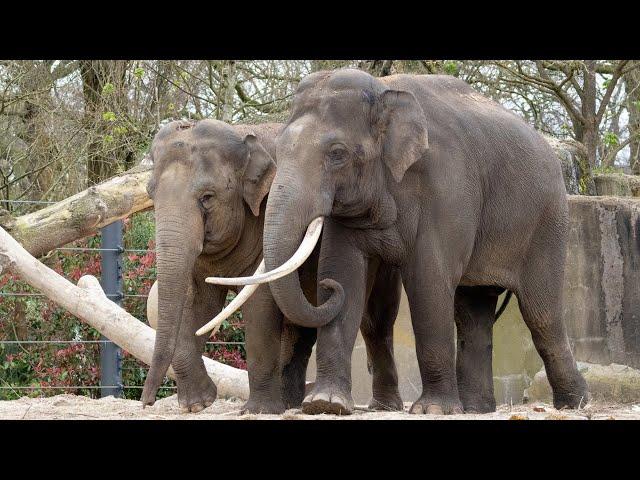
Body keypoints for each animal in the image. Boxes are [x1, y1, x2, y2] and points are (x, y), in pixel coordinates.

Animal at [210, 68, 592, 416]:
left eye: (337, 153)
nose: (326, 290)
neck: (384, 91)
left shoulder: (447, 189)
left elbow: (428, 280)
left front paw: (433, 409)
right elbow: (345, 270)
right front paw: (325, 404)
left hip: (548, 222)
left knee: (541, 313)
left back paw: (574, 403)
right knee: (474, 311)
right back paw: (477, 408)